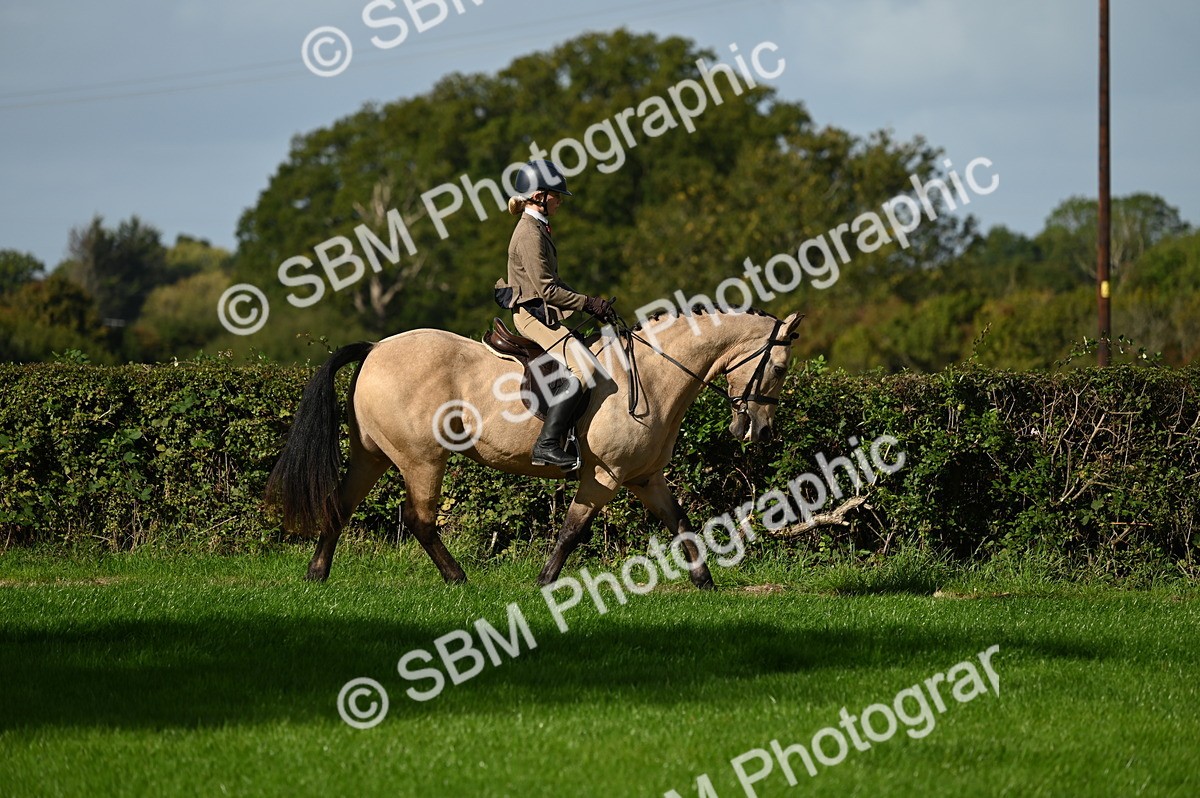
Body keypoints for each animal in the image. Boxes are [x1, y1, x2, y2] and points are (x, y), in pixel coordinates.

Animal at [265, 306, 803, 589]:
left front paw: (705, 583)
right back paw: (459, 578)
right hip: (423, 459)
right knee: (419, 520)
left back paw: (317, 573)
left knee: (339, 504)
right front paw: (546, 582)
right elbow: (572, 531)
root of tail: (377, 349)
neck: (654, 376)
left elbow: (682, 523)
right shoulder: (604, 476)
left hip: (371, 455)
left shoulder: (646, 478)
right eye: (778, 369)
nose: (759, 432)